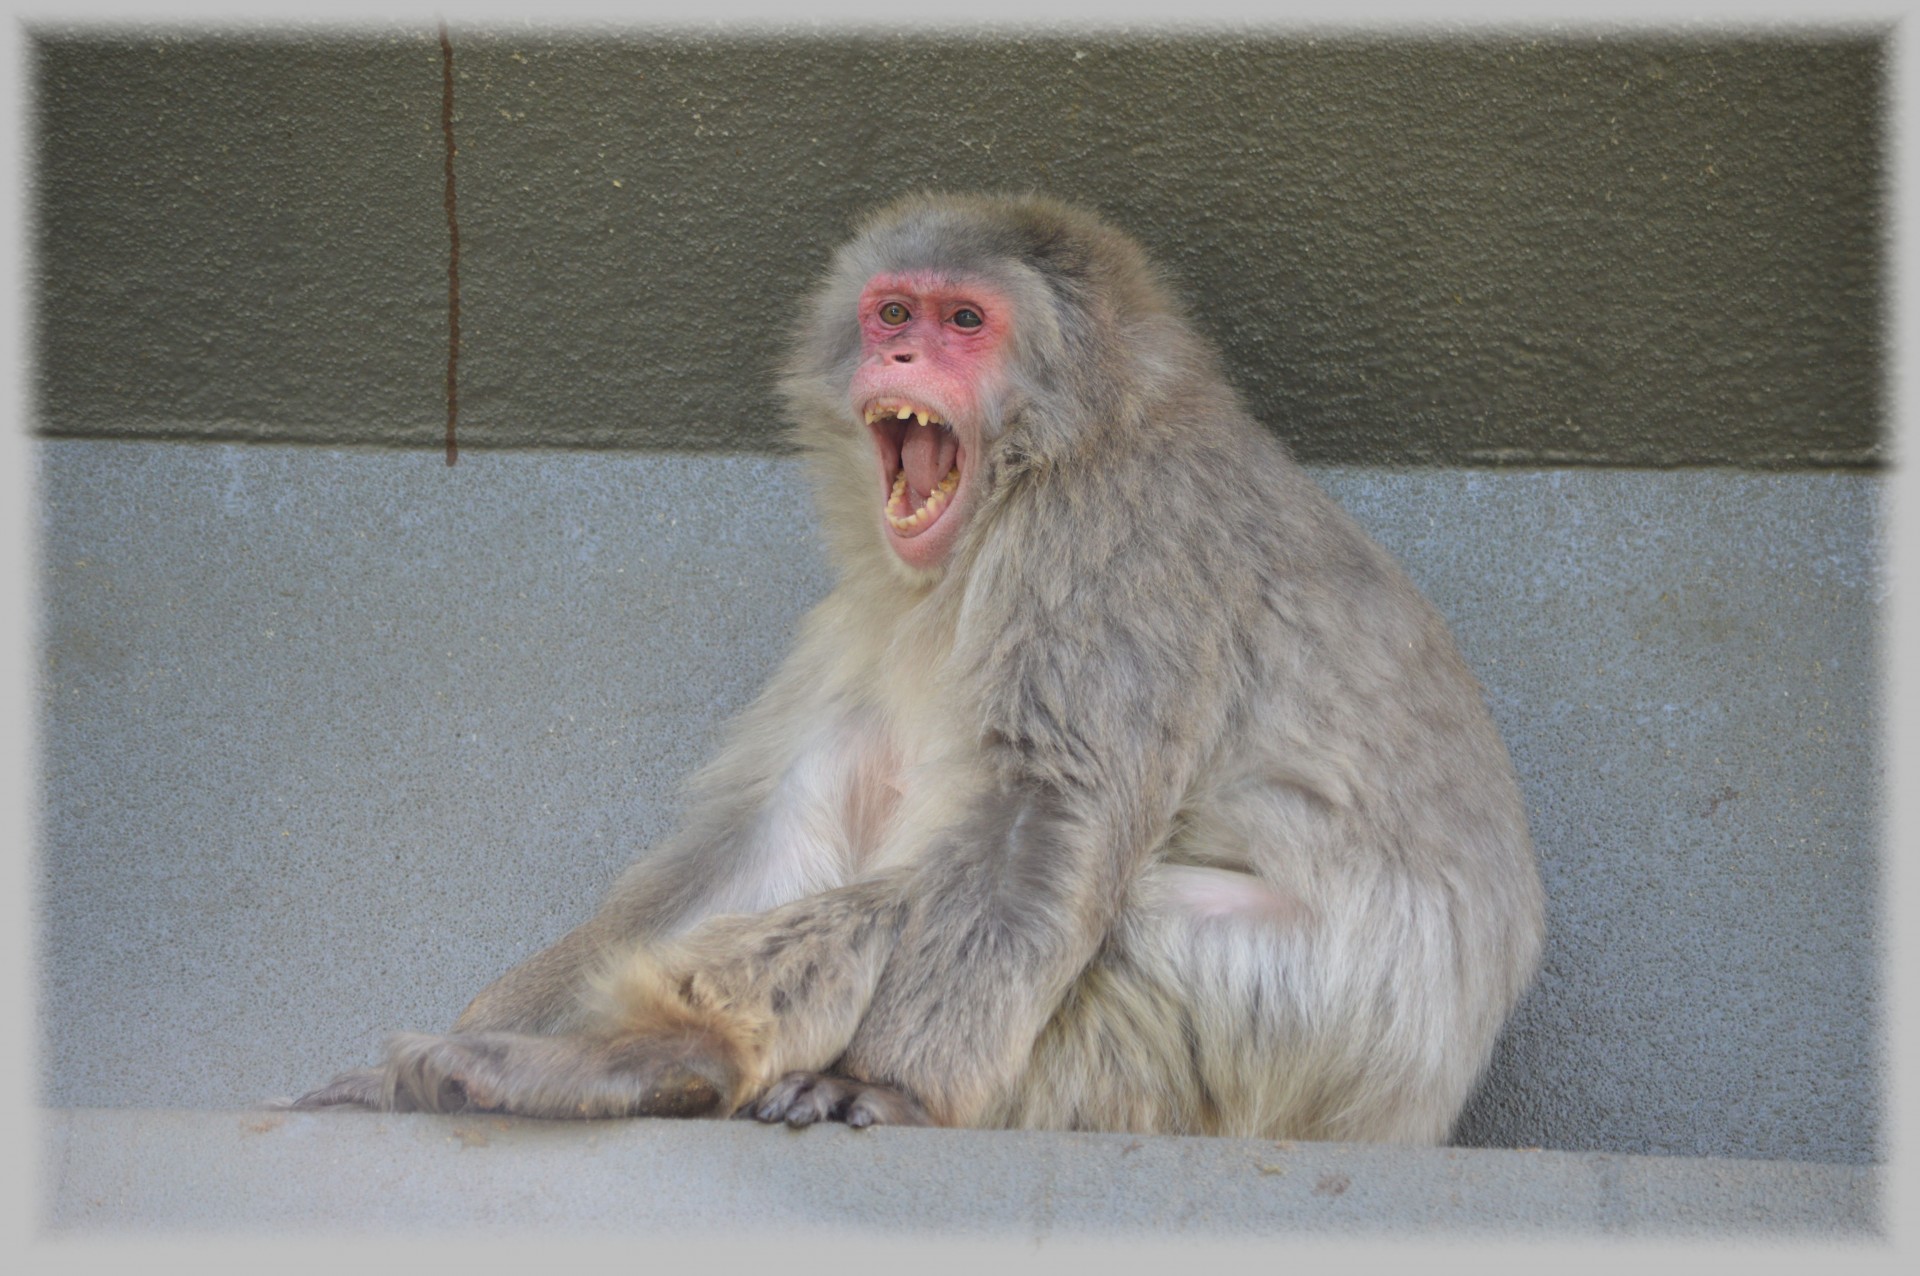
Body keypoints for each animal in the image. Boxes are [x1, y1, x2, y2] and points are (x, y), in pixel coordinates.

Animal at [288, 193, 1543, 1135]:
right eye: (894, 309)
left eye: (962, 319)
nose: (897, 348)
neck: (1046, 469)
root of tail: (1417, 1116)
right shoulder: (865, 612)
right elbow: (767, 824)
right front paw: (482, 1022)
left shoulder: (1108, 546)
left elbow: (1041, 809)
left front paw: (878, 1082)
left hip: (1302, 1025)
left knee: (1040, 899)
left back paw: (673, 1053)